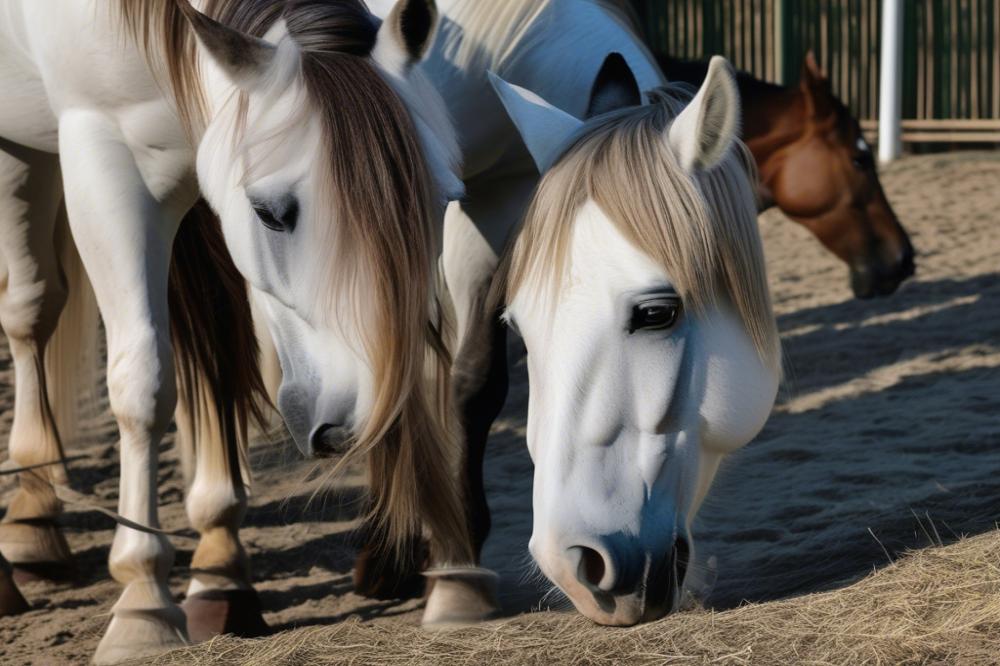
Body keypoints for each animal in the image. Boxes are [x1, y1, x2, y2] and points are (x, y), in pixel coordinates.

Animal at [0, 0, 480, 660]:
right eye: (271, 213)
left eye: (443, 200)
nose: (347, 427)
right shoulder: (105, 161)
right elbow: (144, 385)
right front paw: (144, 603)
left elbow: (220, 367)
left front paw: (220, 568)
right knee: (30, 309)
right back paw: (28, 530)